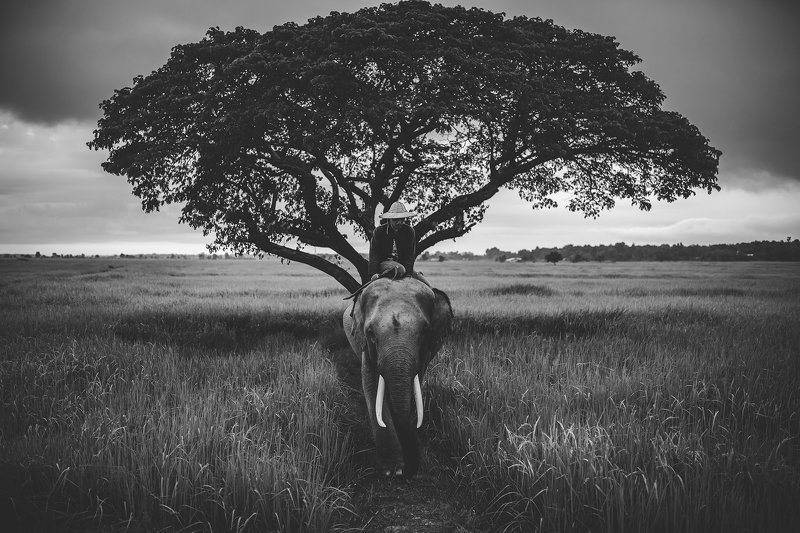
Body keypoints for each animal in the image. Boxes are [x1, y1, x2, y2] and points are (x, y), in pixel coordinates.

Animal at [342, 276, 453, 478]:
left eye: (425, 331)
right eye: (370, 332)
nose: (413, 468)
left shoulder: (426, 350)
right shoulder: (365, 345)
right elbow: (371, 384)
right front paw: (393, 471)